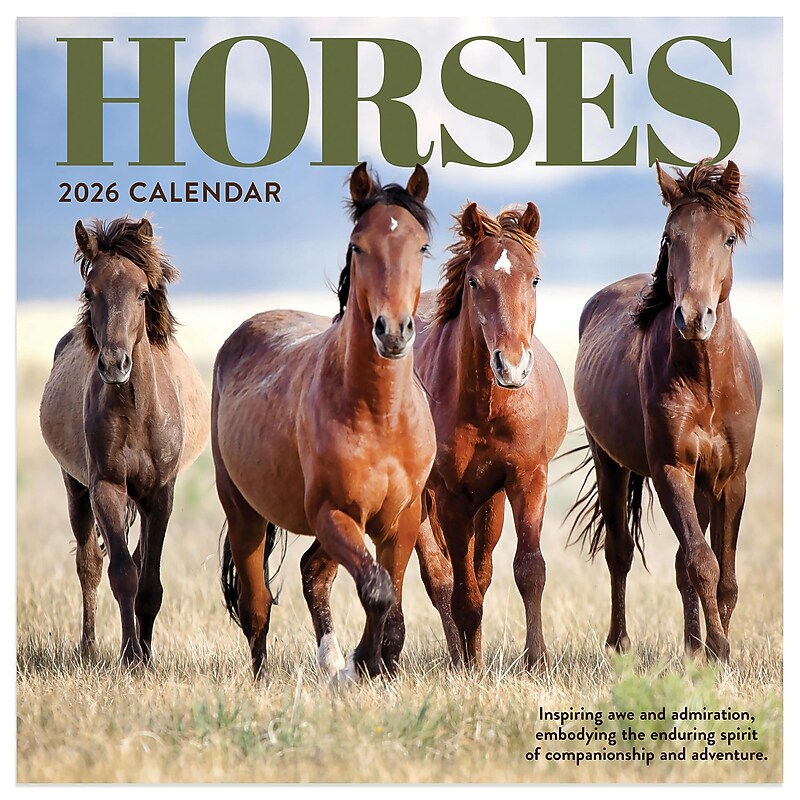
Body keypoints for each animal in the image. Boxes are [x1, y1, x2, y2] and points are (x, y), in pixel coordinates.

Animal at [39, 217, 210, 666]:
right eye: (89, 291)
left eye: (143, 292)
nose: (115, 364)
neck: (136, 413)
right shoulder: (107, 488)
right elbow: (121, 575)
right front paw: (130, 657)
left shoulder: (160, 495)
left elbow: (149, 582)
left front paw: (145, 655)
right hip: (75, 488)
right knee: (90, 564)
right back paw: (89, 647)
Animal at [214, 163, 436, 681]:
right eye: (358, 246)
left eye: (421, 246)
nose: (392, 332)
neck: (379, 415)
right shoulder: (334, 513)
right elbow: (377, 590)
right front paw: (363, 662)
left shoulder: (401, 519)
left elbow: (391, 599)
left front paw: (376, 663)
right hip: (244, 514)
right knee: (257, 606)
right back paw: (271, 677)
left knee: (313, 572)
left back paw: (332, 662)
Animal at [568, 159, 762, 661]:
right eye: (670, 237)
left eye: (727, 238)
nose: (693, 317)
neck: (707, 383)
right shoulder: (671, 469)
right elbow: (702, 563)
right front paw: (718, 649)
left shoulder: (731, 479)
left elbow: (724, 575)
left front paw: (715, 647)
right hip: (610, 463)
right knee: (619, 552)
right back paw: (620, 643)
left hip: (701, 485)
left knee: (679, 562)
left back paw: (691, 647)